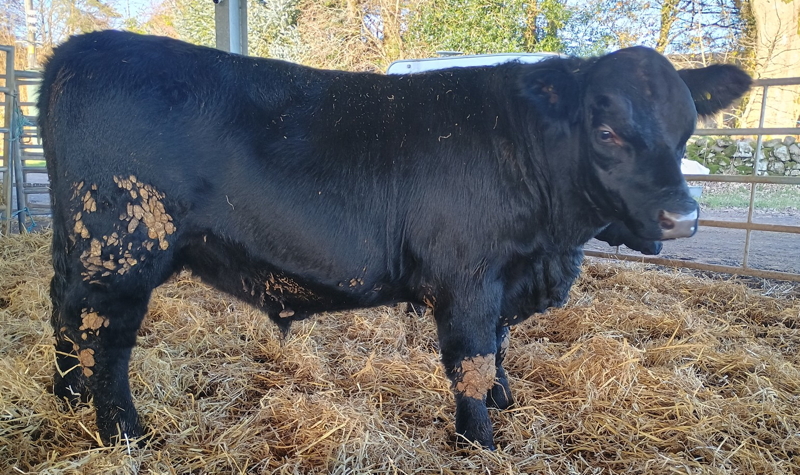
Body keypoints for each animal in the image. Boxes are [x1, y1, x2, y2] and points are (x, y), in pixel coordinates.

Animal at [39, 30, 750, 449]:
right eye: (607, 132)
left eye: (687, 128)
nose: (683, 217)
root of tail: (82, 47)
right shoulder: (468, 280)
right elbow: (471, 360)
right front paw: (480, 439)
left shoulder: (504, 282)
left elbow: (499, 347)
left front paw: (504, 401)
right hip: (121, 248)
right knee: (105, 338)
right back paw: (124, 433)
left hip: (79, 248)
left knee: (63, 314)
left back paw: (66, 394)